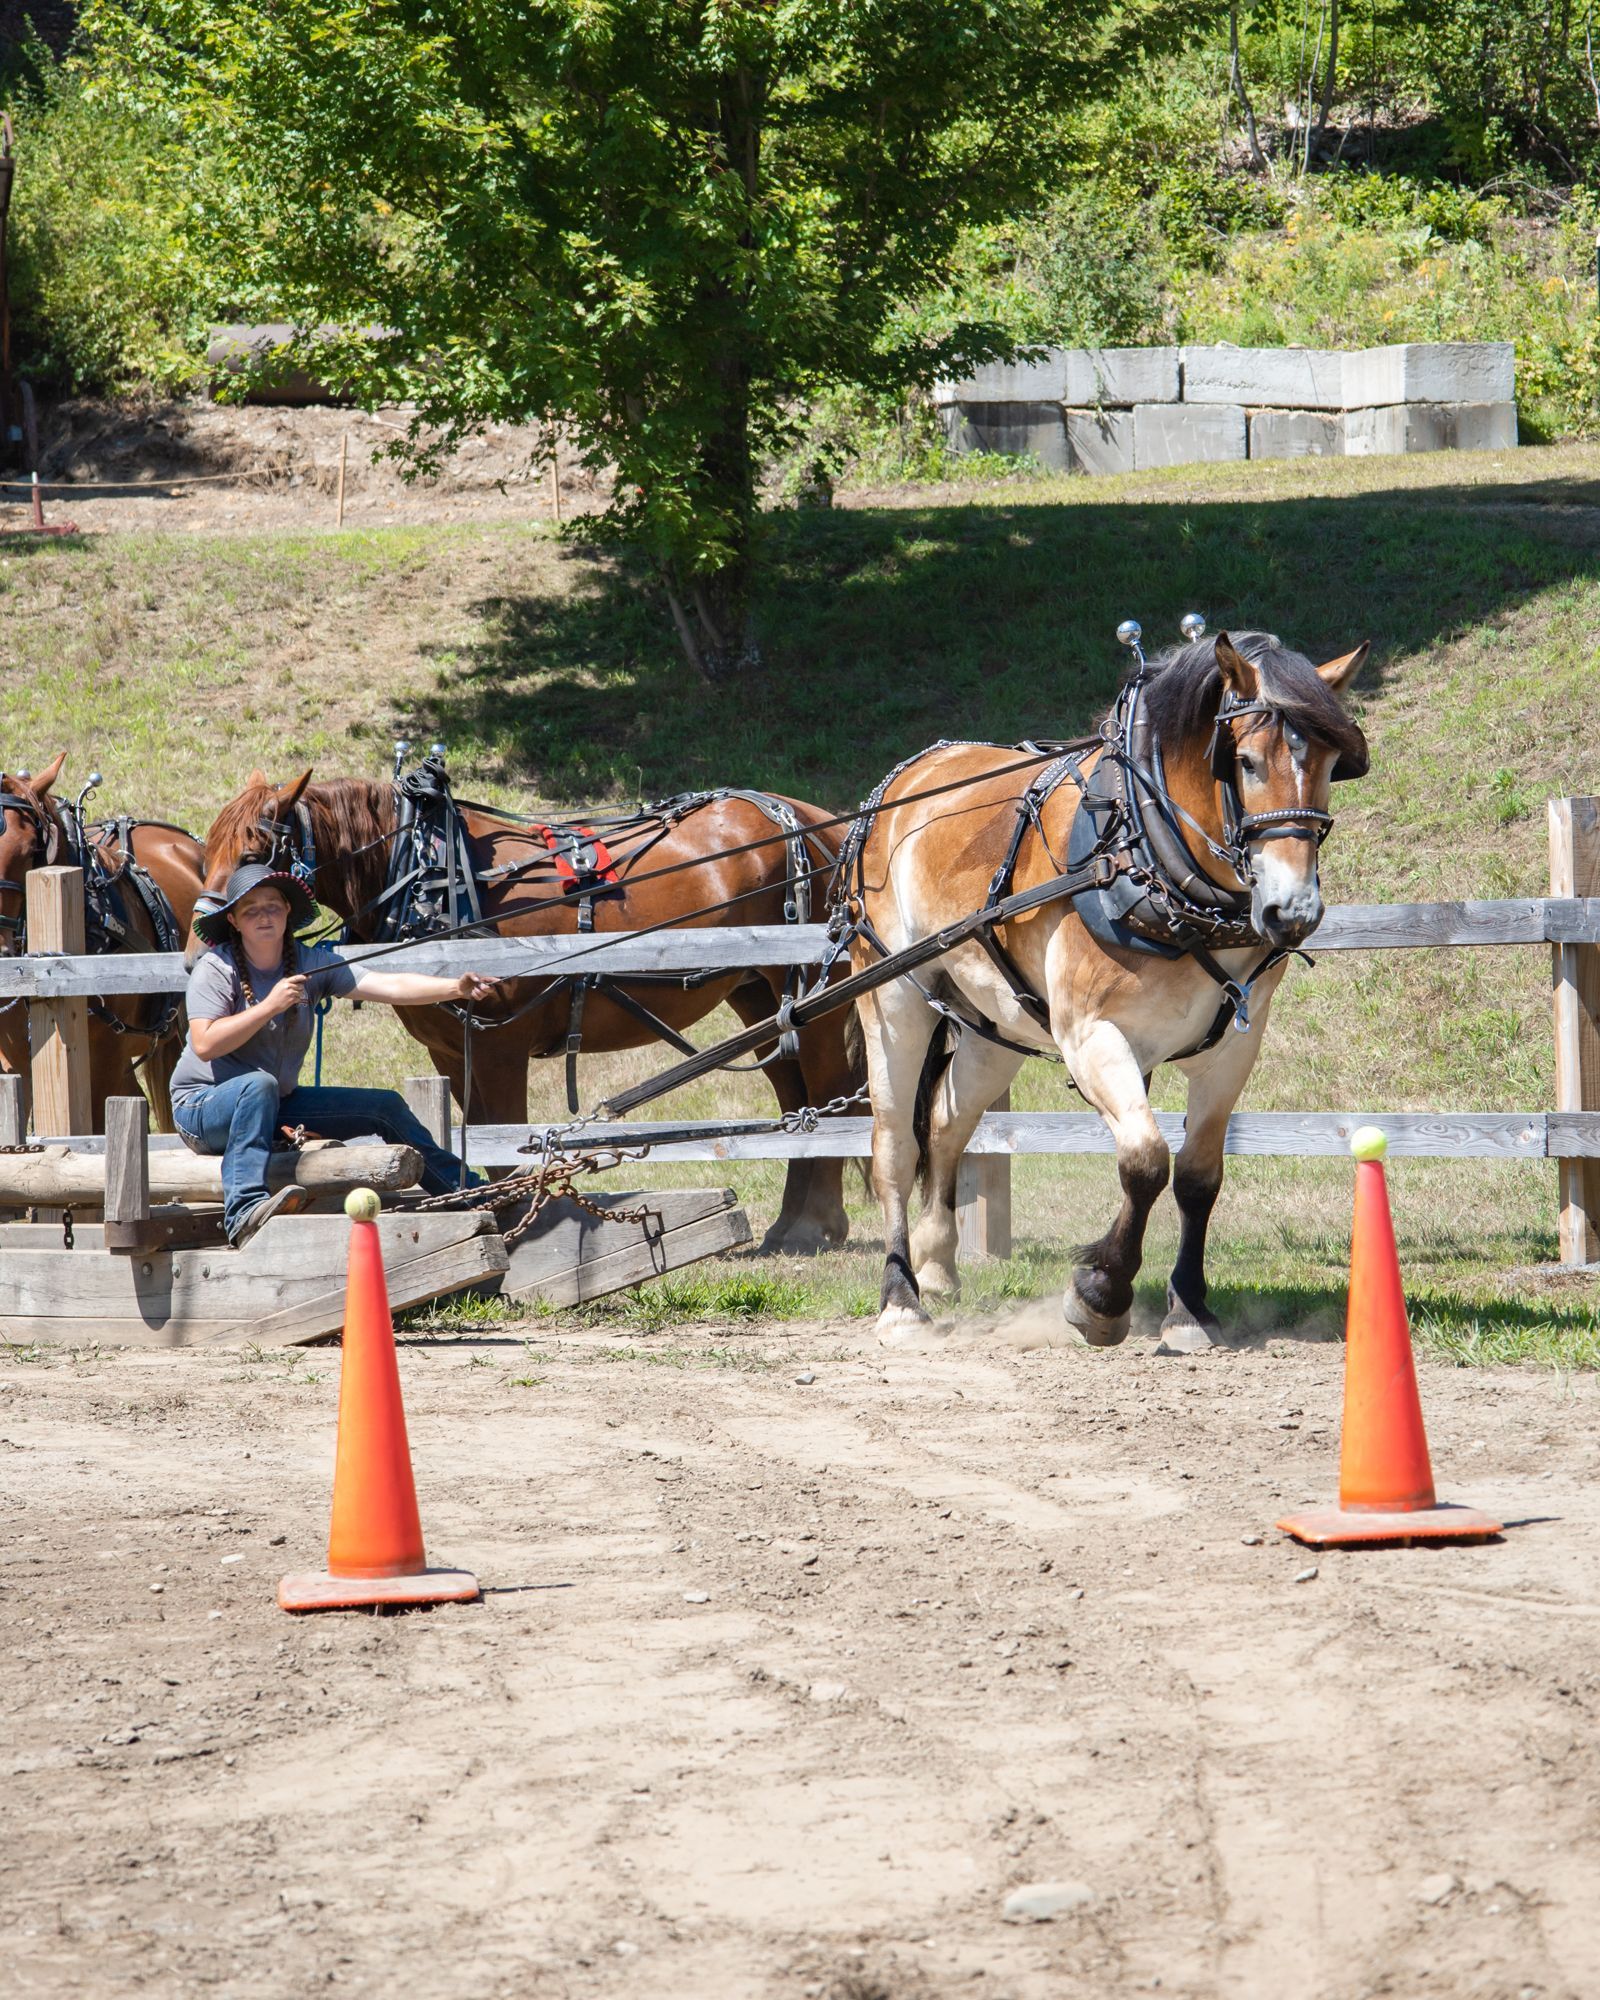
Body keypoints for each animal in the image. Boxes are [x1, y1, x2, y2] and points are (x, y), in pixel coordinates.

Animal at [197, 768, 865, 1252]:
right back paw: (793, 1224)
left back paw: (816, 1224)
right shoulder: (453, 1051)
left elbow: (505, 1135)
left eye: (259, 846)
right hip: (759, 993)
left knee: (829, 1089)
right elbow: (480, 1138)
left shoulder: (499, 1045)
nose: (208, 926)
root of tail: (820, 822)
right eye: (208, 847)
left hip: (815, 989)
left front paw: (526, 1224)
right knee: (795, 1095)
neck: (435, 878)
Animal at [843, 627, 1369, 1348]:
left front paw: (1190, 1306)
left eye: (1328, 760)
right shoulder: (1090, 1035)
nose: (1293, 911)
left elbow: (1198, 1176)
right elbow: (1145, 1159)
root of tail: (903, 781)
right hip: (892, 998)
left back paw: (937, 1262)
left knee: (948, 1122)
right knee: (895, 1145)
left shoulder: (1234, 1047)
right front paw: (1099, 1293)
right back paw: (901, 1300)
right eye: (1247, 762)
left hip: (994, 1025)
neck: (1145, 855)